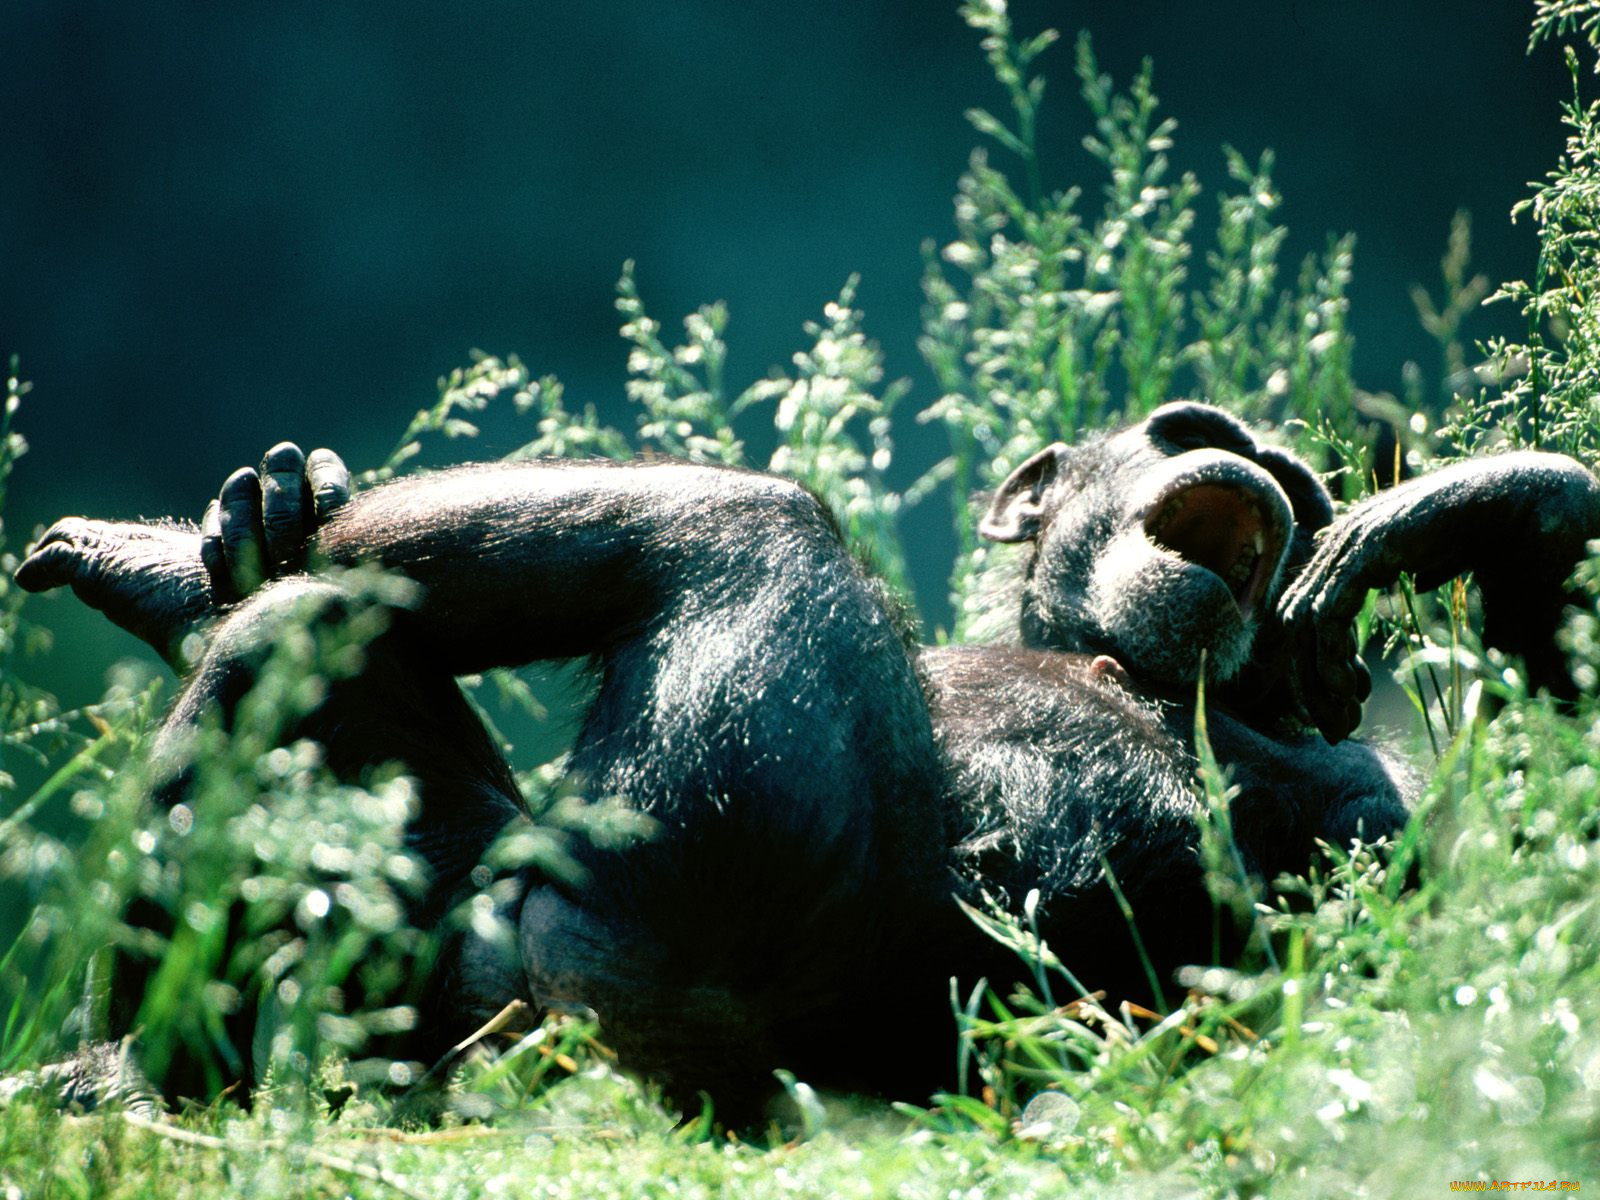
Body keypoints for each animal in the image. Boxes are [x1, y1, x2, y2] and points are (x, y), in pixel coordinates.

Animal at [17, 400, 1600, 1117]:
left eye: (1307, 487)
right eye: (1190, 430)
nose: (1261, 463)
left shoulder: (1372, 803)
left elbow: (1501, 935)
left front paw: (1489, 501)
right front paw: (239, 529)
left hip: (689, 936)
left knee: (745, 527)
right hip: (436, 982)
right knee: (297, 633)